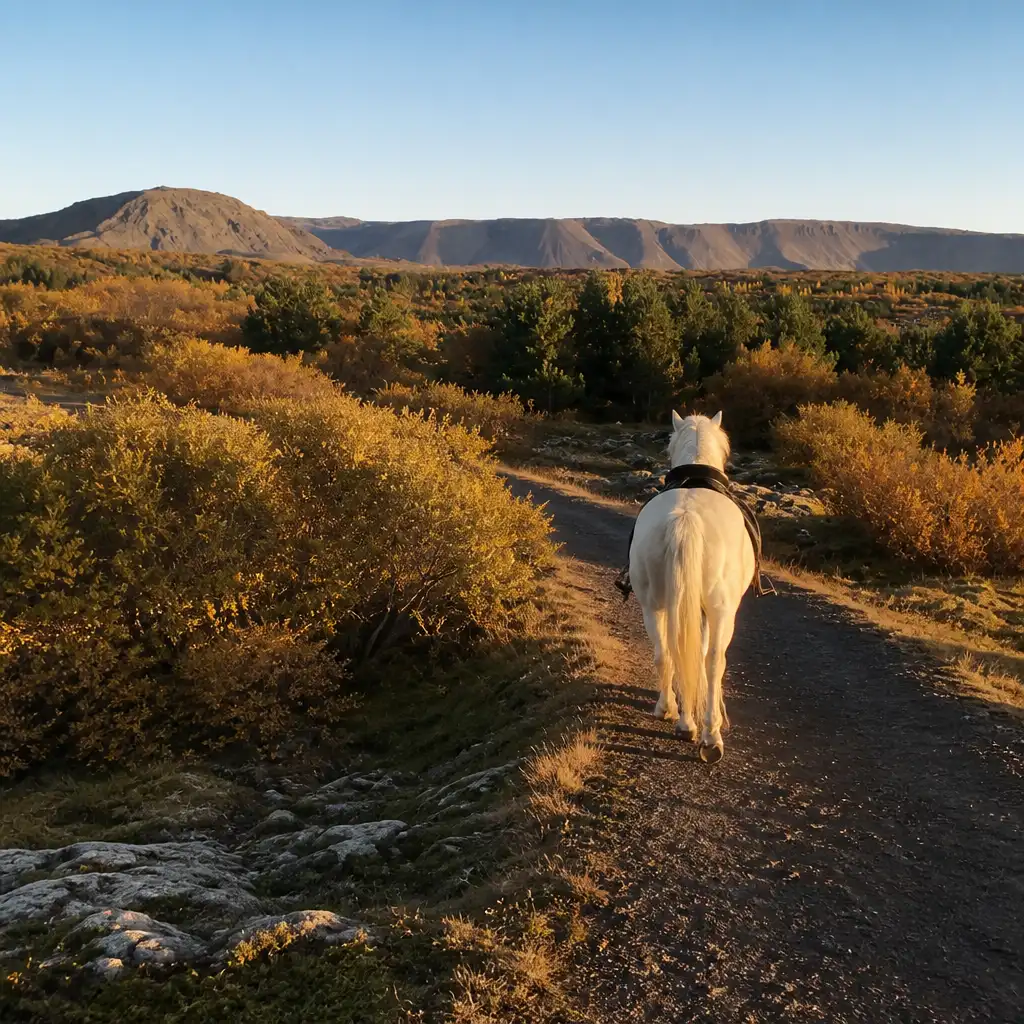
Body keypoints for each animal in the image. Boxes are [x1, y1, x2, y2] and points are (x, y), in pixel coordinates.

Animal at [627, 410, 755, 764]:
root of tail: (686, 517)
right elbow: (705, 656)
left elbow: (686, 652)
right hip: (721, 609)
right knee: (713, 662)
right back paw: (709, 734)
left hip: (654, 604)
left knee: (665, 651)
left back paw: (678, 718)